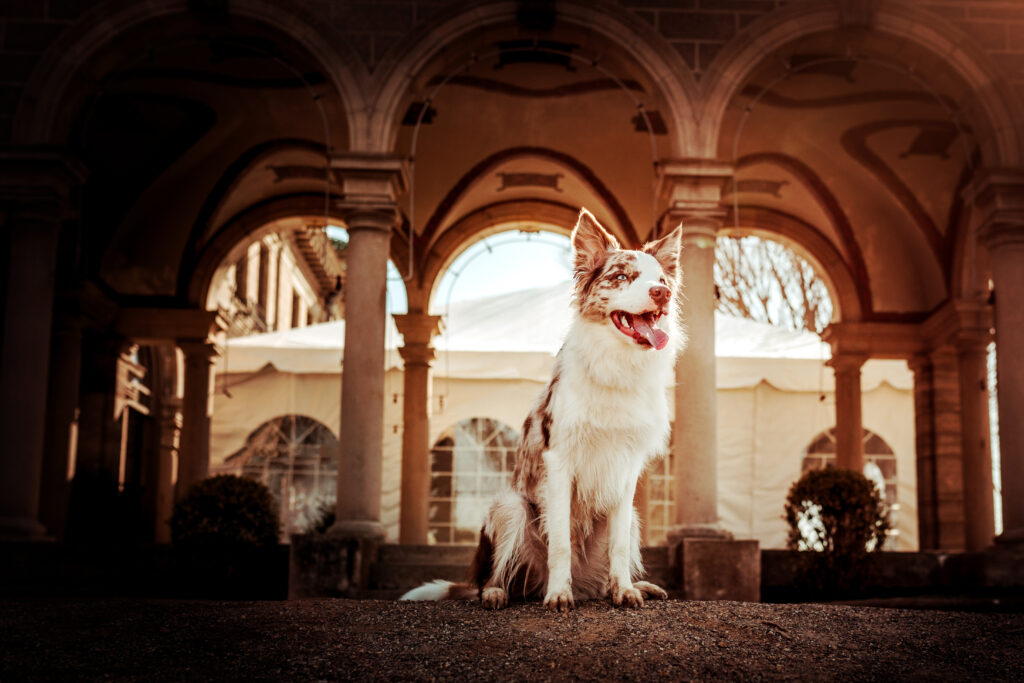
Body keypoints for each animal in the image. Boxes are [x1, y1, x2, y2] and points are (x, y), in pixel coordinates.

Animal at [403, 209, 684, 614]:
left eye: (660, 280)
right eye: (621, 276)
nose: (662, 293)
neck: (616, 367)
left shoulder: (626, 467)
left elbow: (617, 546)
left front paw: (625, 590)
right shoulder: (559, 461)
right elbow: (561, 542)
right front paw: (559, 594)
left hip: (631, 518)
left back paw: (630, 586)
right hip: (510, 507)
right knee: (495, 576)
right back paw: (498, 592)